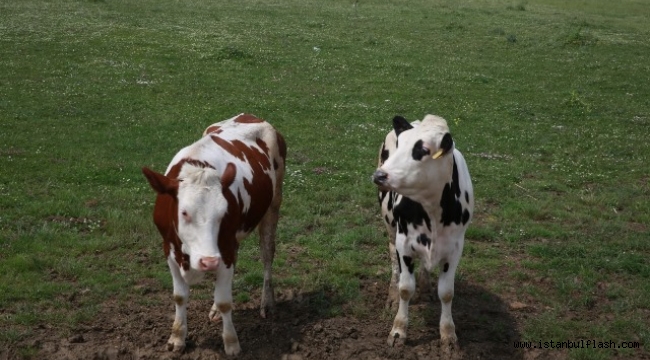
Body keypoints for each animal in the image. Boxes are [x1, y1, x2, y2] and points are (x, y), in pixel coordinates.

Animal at [142, 114, 284, 356]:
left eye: (221, 213)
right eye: (184, 212)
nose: (209, 261)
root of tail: (250, 116)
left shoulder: (225, 249)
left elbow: (225, 300)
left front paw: (231, 343)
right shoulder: (168, 247)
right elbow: (179, 296)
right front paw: (177, 338)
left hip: (273, 204)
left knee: (267, 253)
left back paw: (267, 303)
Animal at [372, 114, 474, 348]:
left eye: (424, 150)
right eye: (400, 144)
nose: (379, 176)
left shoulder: (455, 248)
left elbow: (447, 293)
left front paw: (448, 333)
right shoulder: (404, 243)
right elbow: (405, 288)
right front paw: (398, 331)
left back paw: (426, 287)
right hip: (390, 225)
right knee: (393, 260)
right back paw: (392, 295)